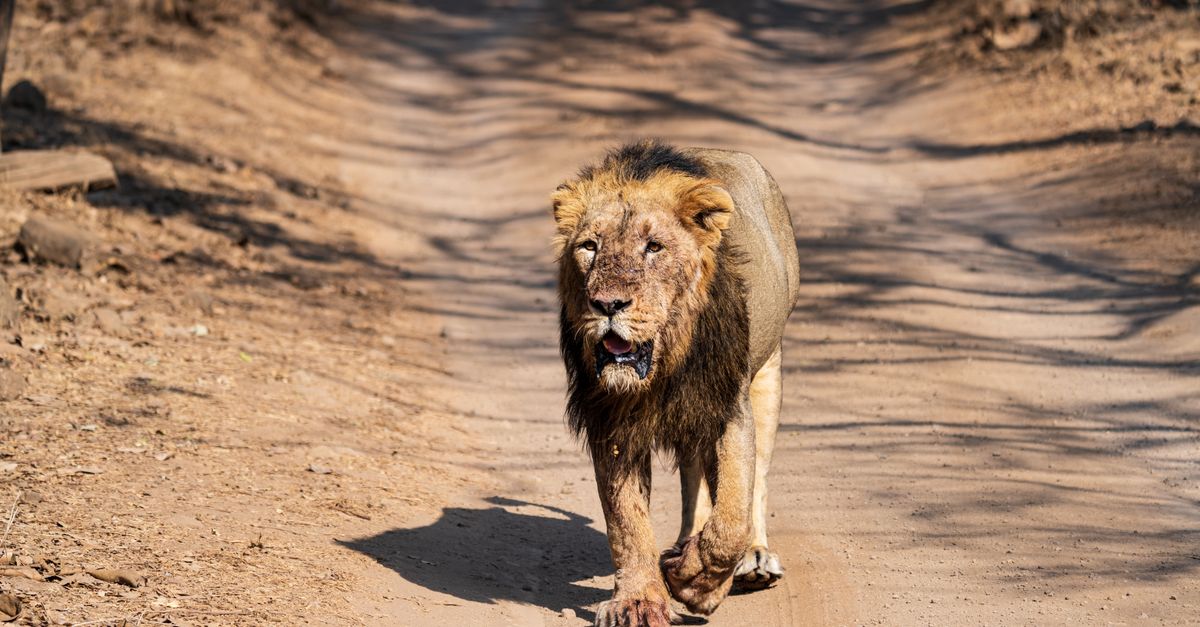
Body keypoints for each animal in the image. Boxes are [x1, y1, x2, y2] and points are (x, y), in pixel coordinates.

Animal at [553, 141, 800, 626]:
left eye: (654, 247)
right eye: (590, 246)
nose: (607, 303)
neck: (666, 362)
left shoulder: (728, 404)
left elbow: (731, 519)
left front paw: (697, 584)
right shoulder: (611, 419)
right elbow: (626, 522)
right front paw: (638, 600)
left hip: (768, 372)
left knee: (757, 479)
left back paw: (753, 560)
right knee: (692, 479)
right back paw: (686, 544)